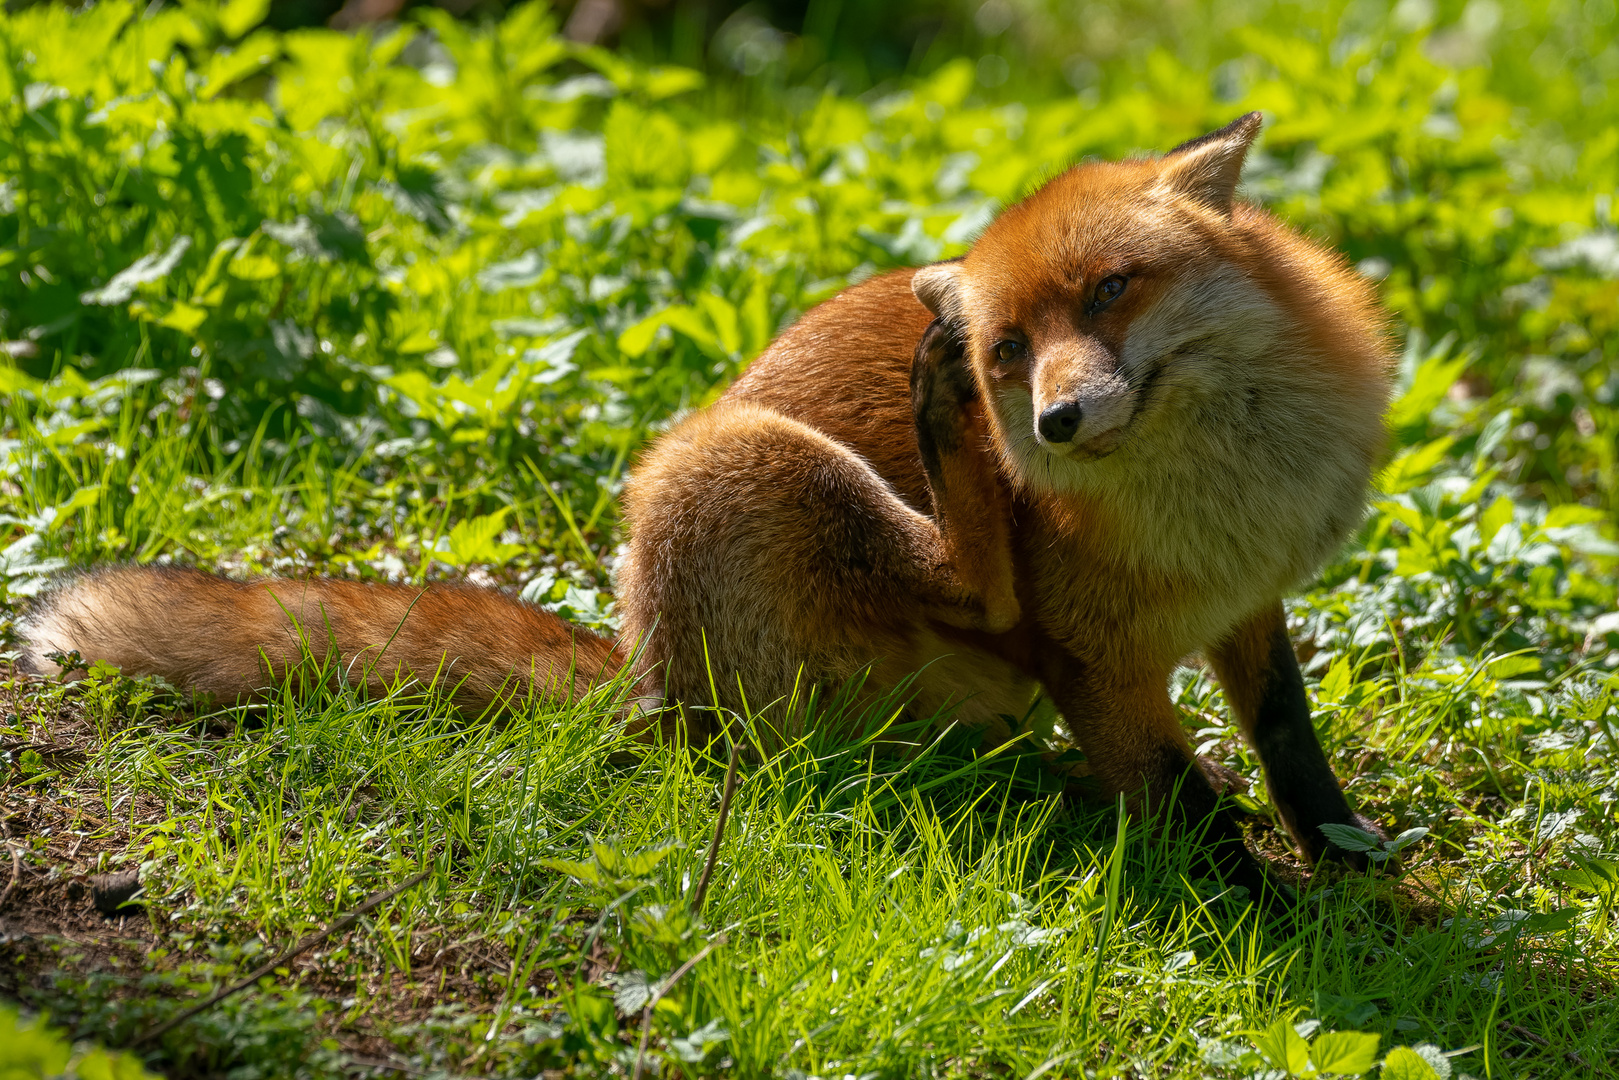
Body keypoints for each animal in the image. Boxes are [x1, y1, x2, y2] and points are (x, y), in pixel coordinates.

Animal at [19, 116, 1392, 893]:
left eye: (1110, 289)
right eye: (1010, 350)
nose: (1045, 424)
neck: (1216, 507)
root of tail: (648, 678)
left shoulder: (1250, 600)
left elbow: (1285, 741)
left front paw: (1343, 851)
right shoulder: (1086, 658)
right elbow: (1188, 807)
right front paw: (1265, 912)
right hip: (742, 469)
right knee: (961, 586)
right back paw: (935, 423)